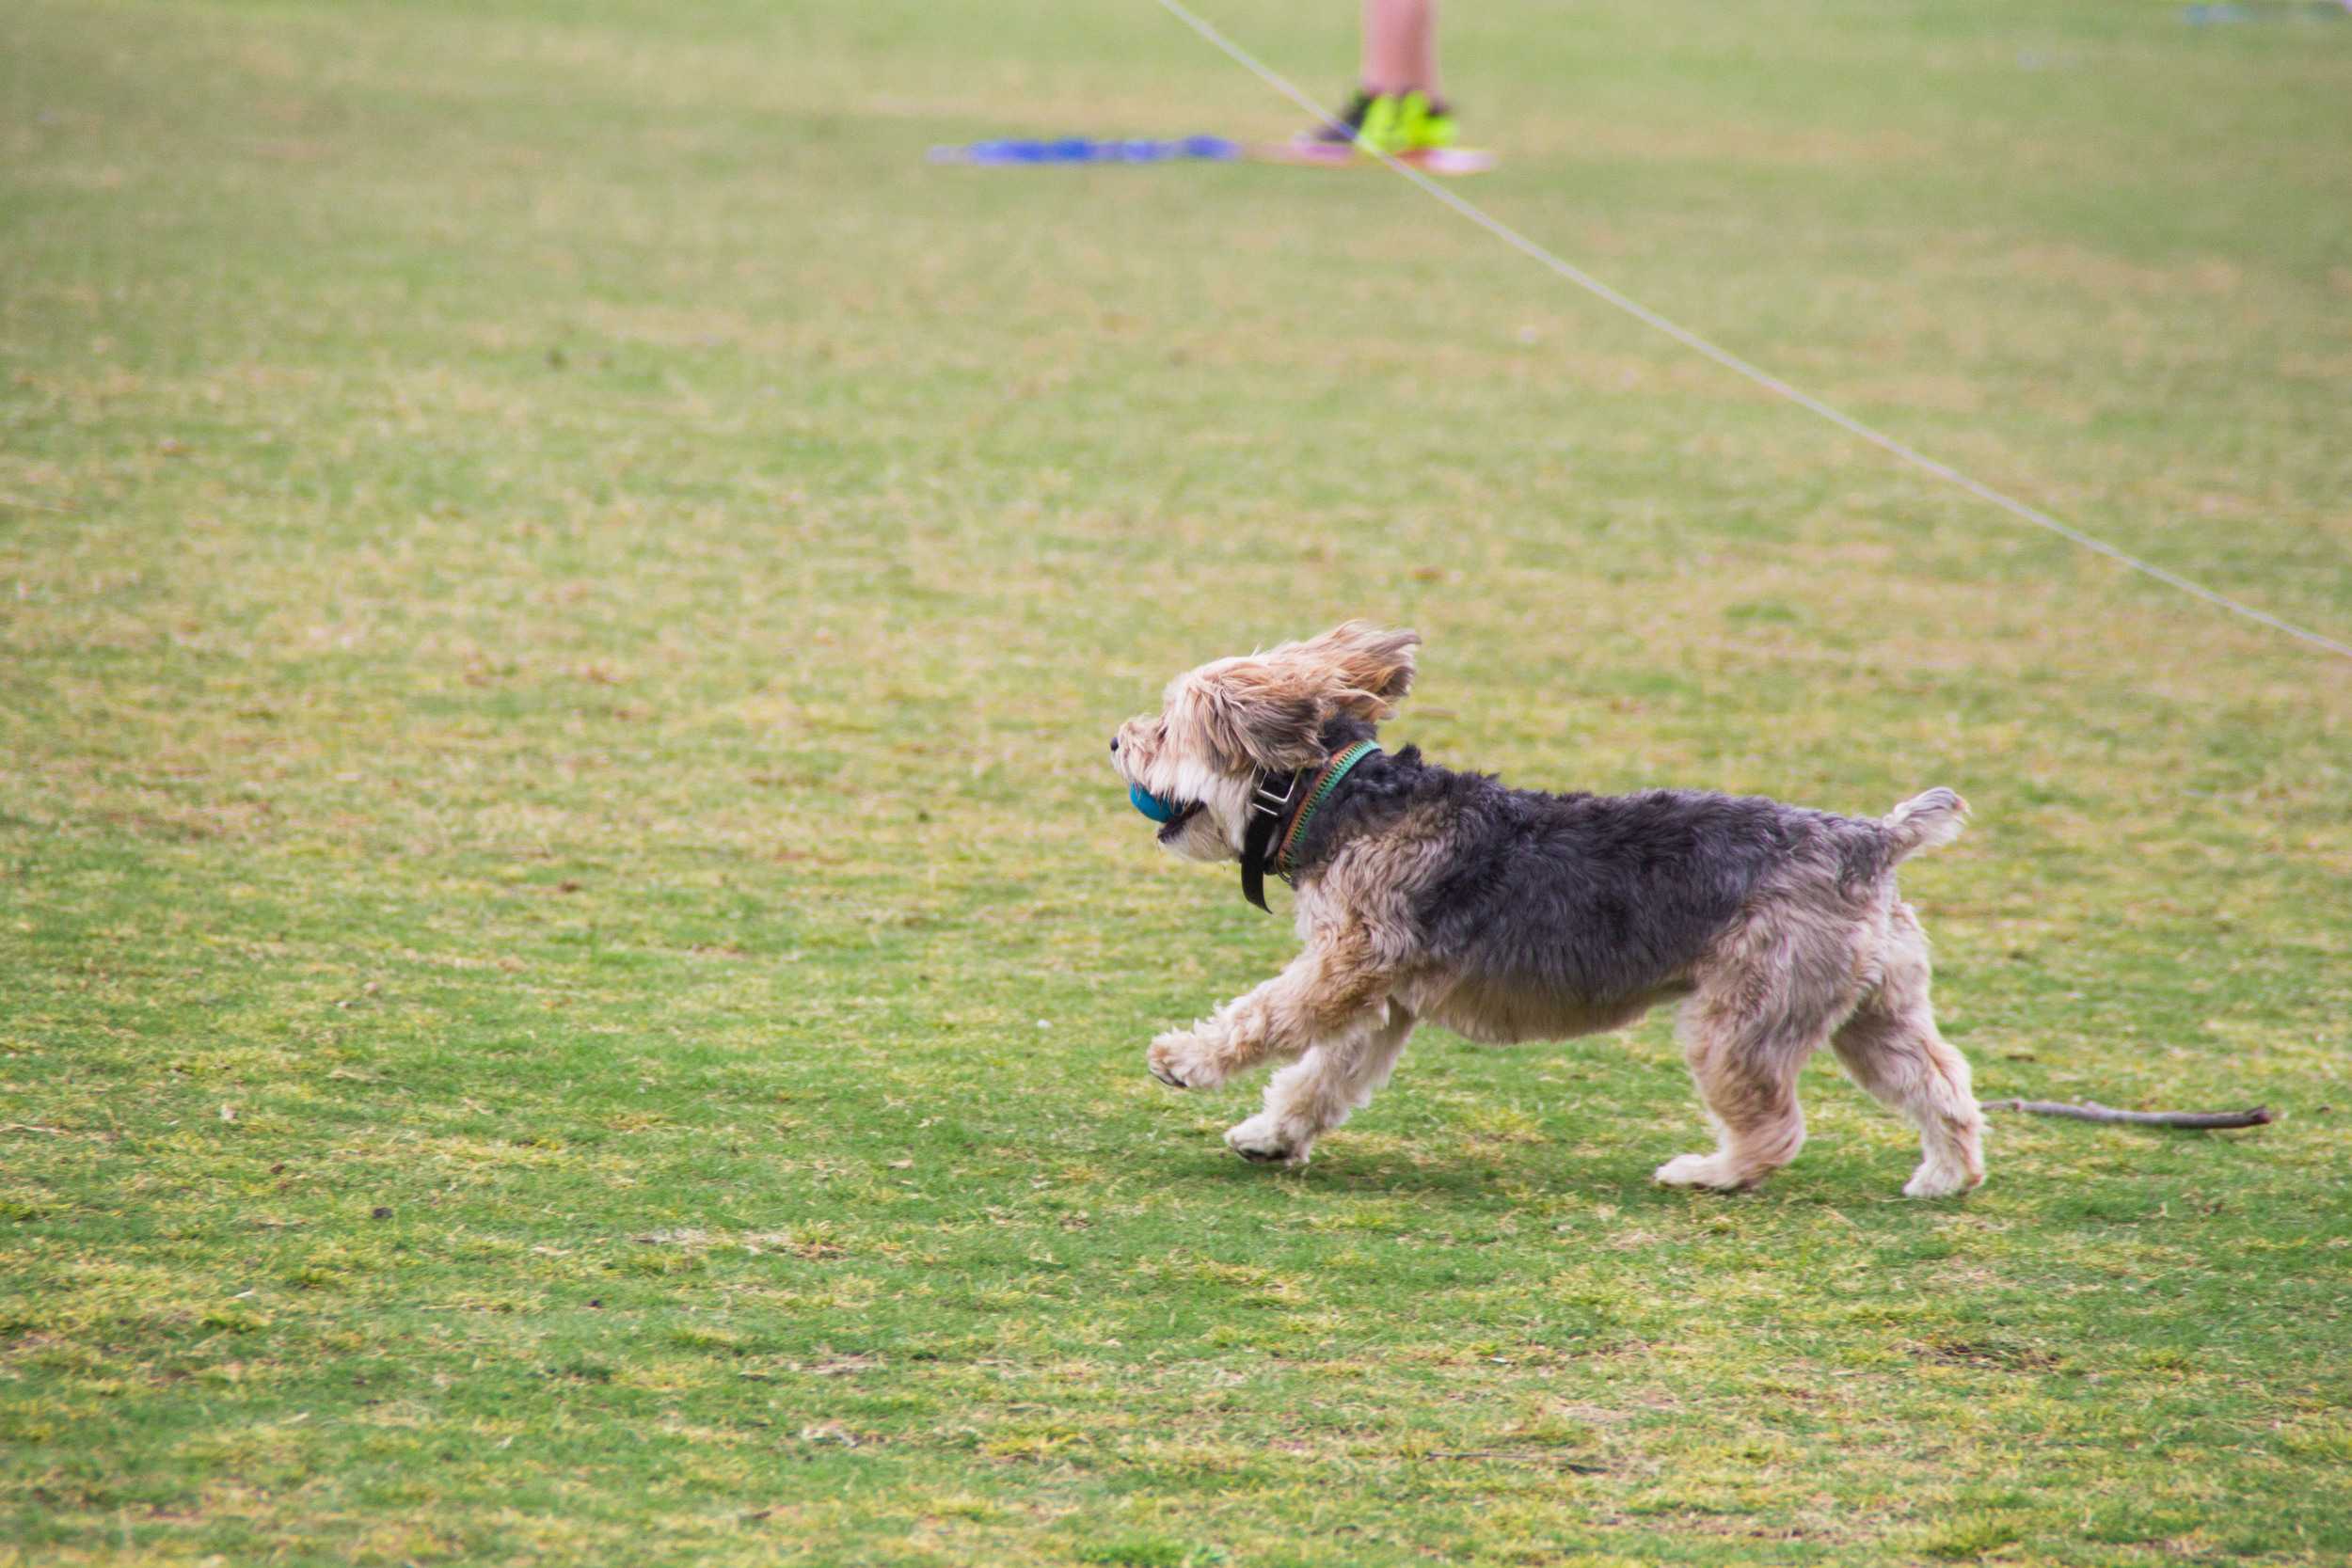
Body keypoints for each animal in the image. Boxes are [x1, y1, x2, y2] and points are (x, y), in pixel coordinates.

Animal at [1115, 620, 1985, 1194]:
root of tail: (1872, 838)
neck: (1330, 794)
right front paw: (1271, 1135)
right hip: (1872, 1012)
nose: (1117, 741)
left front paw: (1183, 1059)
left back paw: (1706, 1172)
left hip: (1742, 1020)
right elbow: (1322, 1076)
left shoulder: (1348, 963)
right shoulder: (1383, 997)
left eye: (1167, 727)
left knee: (1776, 1126)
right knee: (1942, 1083)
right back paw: (1946, 1175)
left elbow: (1268, 1014)